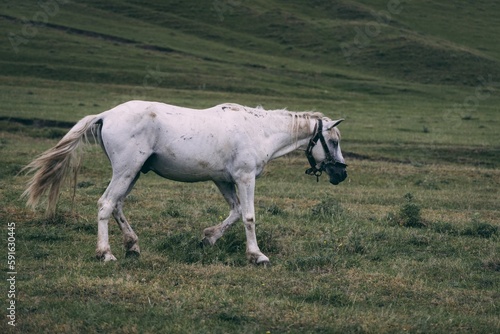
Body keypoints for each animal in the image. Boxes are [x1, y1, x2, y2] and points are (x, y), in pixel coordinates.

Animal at [21, 100, 346, 264]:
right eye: (332, 141)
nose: (341, 174)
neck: (258, 130)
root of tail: (106, 114)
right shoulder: (244, 177)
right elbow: (249, 216)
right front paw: (256, 255)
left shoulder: (224, 180)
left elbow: (235, 212)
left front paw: (208, 238)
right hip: (127, 169)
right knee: (106, 204)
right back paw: (106, 253)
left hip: (133, 172)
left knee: (118, 205)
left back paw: (132, 246)